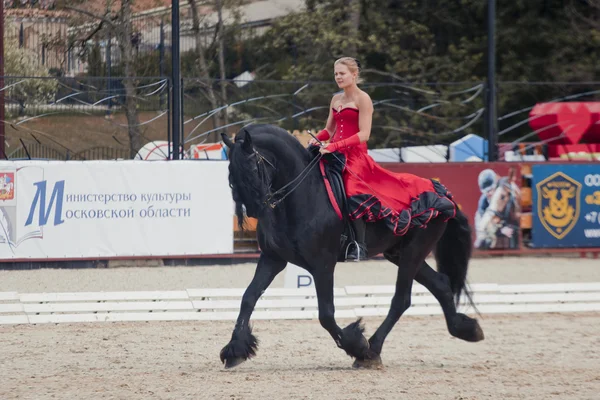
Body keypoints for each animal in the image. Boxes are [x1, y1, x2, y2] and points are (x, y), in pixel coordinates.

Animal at [219, 124, 482, 368]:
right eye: (230, 176)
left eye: (253, 168)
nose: (255, 211)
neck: (301, 194)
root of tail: (444, 195)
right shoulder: (273, 259)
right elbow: (248, 297)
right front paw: (235, 350)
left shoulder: (322, 264)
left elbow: (326, 314)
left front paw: (357, 346)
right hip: (399, 252)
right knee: (441, 285)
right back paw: (466, 329)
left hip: (414, 250)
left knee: (402, 299)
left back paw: (372, 351)